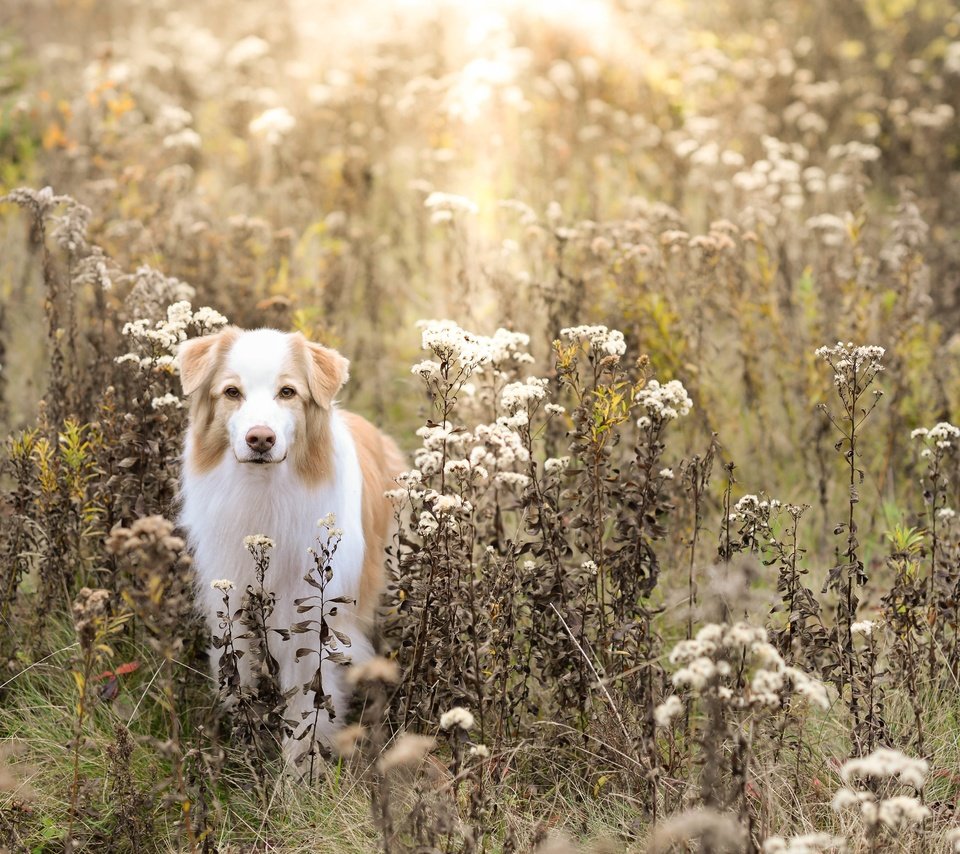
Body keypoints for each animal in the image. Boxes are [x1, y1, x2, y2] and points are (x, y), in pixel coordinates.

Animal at [177, 328, 404, 764]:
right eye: (231, 392)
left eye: (287, 392)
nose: (260, 438)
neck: (264, 491)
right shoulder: (232, 608)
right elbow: (240, 681)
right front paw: (247, 745)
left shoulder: (316, 623)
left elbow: (306, 708)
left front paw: (299, 772)